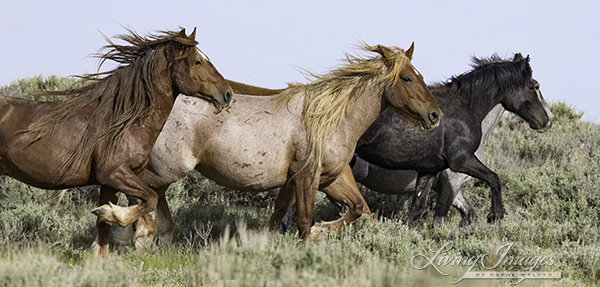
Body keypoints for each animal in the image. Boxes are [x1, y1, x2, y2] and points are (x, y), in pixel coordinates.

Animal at [0, 27, 232, 258]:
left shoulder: (112, 182)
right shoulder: (114, 173)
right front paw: (115, 215)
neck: (121, 122)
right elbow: (149, 199)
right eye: (198, 62)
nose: (227, 94)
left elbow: (108, 227)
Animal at [105, 42, 442, 250]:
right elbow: (303, 220)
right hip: (168, 167)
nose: (435, 116)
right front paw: (308, 248)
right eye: (408, 78)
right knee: (142, 191)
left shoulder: (327, 178)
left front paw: (316, 233)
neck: (328, 119)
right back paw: (132, 228)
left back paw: (150, 233)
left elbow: (354, 208)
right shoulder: (307, 178)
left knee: (150, 194)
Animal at [354, 53, 556, 227]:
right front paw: (495, 216)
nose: (548, 119)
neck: (466, 107)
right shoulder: (459, 167)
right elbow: (493, 180)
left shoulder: (431, 172)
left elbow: (423, 211)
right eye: (534, 86)